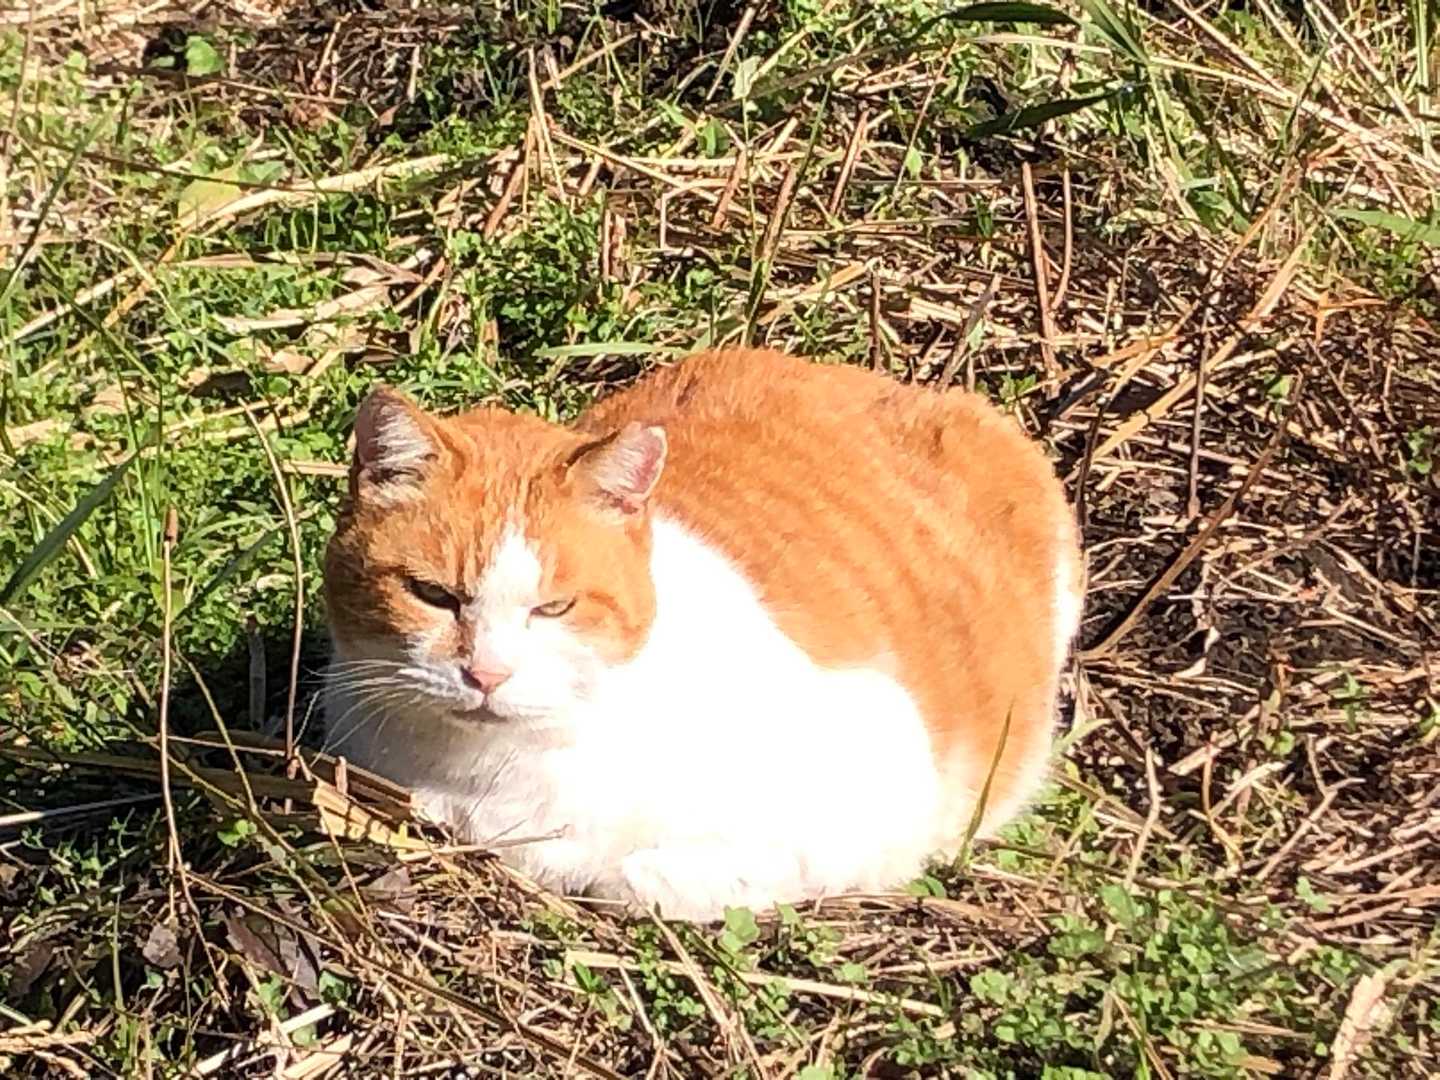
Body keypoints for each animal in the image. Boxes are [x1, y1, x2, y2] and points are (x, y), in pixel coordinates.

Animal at [322, 348, 1083, 921]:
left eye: (555, 607)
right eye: (433, 596)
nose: (487, 674)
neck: (492, 773)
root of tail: (890, 383)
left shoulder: (884, 785)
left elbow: (642, 878)